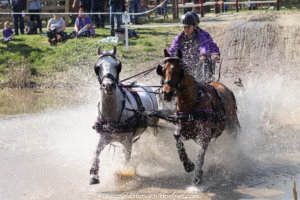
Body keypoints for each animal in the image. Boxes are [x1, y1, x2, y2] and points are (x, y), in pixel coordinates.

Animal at [89, 46, 158, 184]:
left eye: (117, 66)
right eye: (97, 67)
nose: (108, 85)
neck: (112, 114)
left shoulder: (127, 140)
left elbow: (126, 158)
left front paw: (124, 173)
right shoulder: (103, 136)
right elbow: (96, 152)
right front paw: (94, 175)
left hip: (153, 125)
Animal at [156, 49, 240, 187]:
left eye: (180, 70)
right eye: (162, 70)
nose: (167, 93)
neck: (192, 102)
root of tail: (226, 88)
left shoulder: (204, 133)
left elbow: (200, 154)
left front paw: (197, 177)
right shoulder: (184, 130)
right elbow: (177, 139)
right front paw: (188, 165)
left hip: (232, 125)